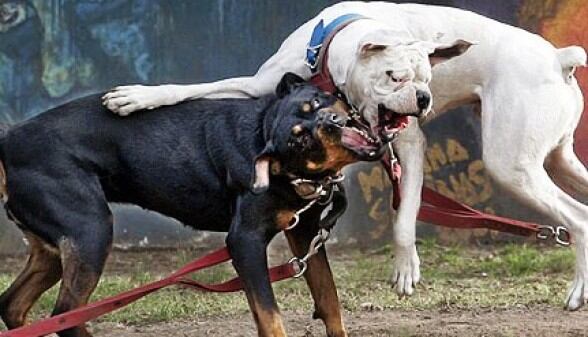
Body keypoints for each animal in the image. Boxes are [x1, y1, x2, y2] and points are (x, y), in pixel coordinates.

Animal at [0, 73, 386, 336]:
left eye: (317, 103)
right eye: (300, 138)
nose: (332, 123)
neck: (263, 133)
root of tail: (8, 139)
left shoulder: (305, 231)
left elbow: (329, 298)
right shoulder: (244, 241)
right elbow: (270, 315)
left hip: (56, 246)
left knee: (15, 305)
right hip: (90, 230)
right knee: (64, 314)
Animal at [102, 1, 588, 310]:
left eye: (428, 77)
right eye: (394, 76)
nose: (424, 98)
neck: (329, 57)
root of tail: (558, 57)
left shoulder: (408, 146)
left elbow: (403, 216)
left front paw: (406, 266)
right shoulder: (257, 86)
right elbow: (193, 88)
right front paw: (138, 98)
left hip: (513, 166)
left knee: (576, 218)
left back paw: (577, 292)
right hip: (559, 161)